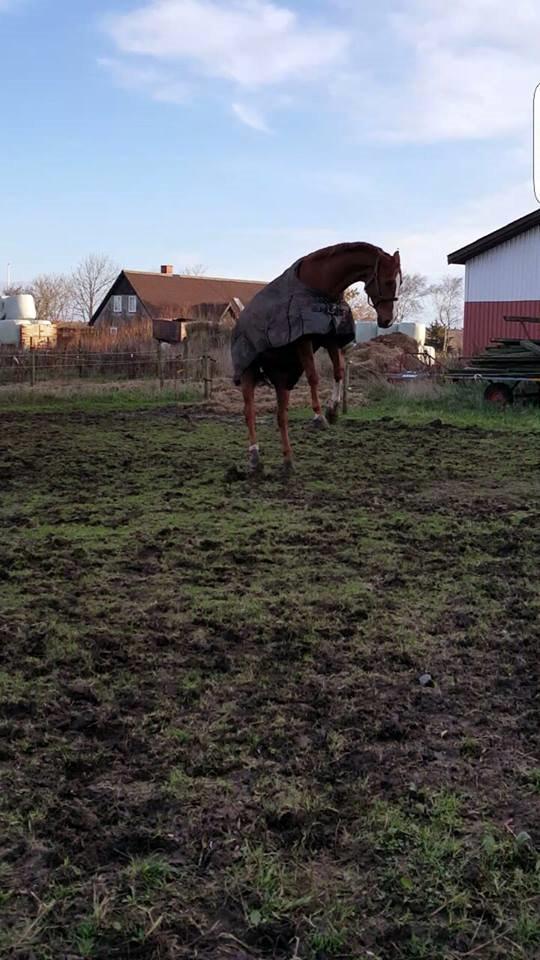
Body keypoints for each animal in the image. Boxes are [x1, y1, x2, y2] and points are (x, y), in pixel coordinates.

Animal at [231, 242, 400, 470]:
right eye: (389, 281)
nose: (387, 320)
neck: (320, 287)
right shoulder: (303, 340)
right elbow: (313, 376)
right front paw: (319, 417)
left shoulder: (330, 337)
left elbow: (338, 371)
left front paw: (333, 410)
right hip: (248, 373)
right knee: (249, 412)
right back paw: (255, 456)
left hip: (281, 377)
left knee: (279, 414)